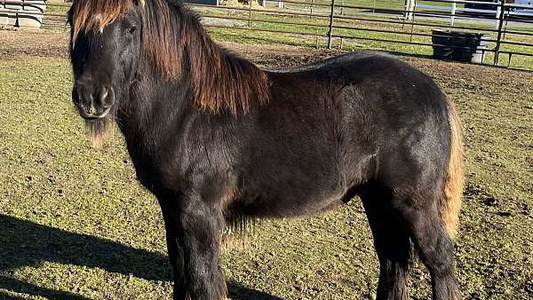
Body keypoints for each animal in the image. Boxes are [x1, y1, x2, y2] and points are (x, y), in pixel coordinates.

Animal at [67, 1, 462, 298]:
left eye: (131, 28)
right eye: (74, 22)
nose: (92, 98)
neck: (186, 109)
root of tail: (434, 92)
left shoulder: (199, 214)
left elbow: (203, 281)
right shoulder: (173, 210)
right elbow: (183, 277)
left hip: (412, 202)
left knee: (439, 259)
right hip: (378, 199)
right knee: (394, 261)